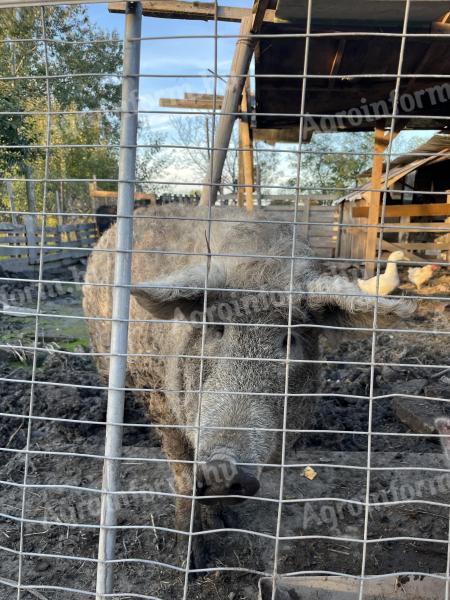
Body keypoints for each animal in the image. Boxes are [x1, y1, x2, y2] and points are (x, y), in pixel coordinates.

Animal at [82, 205, 414, 568]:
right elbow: (182, 472)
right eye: (217, 327)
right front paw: (191, 562)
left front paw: (226, 524)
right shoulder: (158, 399)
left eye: (290, 339)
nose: (224, 471)